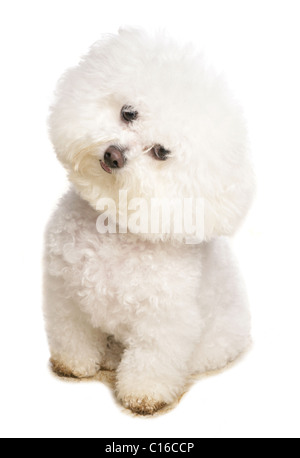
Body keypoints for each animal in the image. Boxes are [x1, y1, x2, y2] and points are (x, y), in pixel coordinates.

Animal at [44, 27, 254, 416]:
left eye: (160, 152)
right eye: (128, 113)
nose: (113, 154)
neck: (114, 229)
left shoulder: (164, 321)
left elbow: (152, 361)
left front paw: (144, 395)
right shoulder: (65, 295)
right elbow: (73, 334)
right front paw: (74, 364)